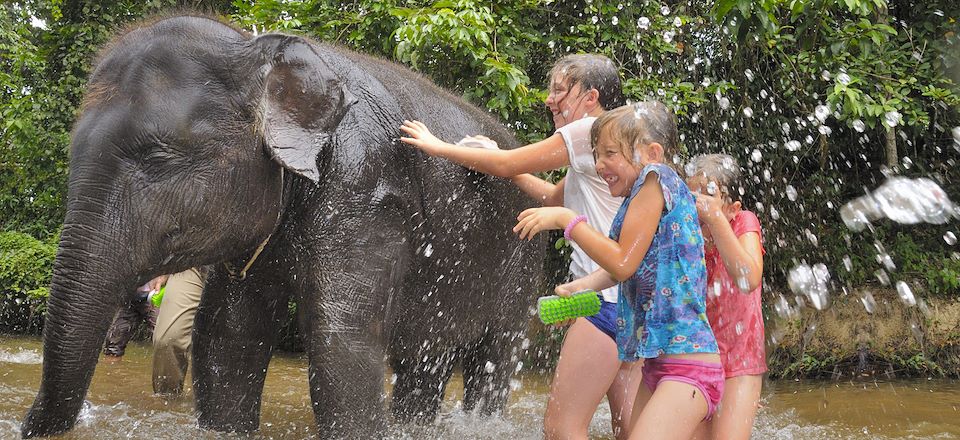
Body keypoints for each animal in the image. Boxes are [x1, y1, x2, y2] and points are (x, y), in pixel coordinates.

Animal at [22, 14, 544, 440]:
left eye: (158, 156)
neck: (259, 50)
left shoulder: (366, 191)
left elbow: (340, 339)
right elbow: (228, 332)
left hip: (523, 261)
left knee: (495, 354)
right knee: (425, 353)